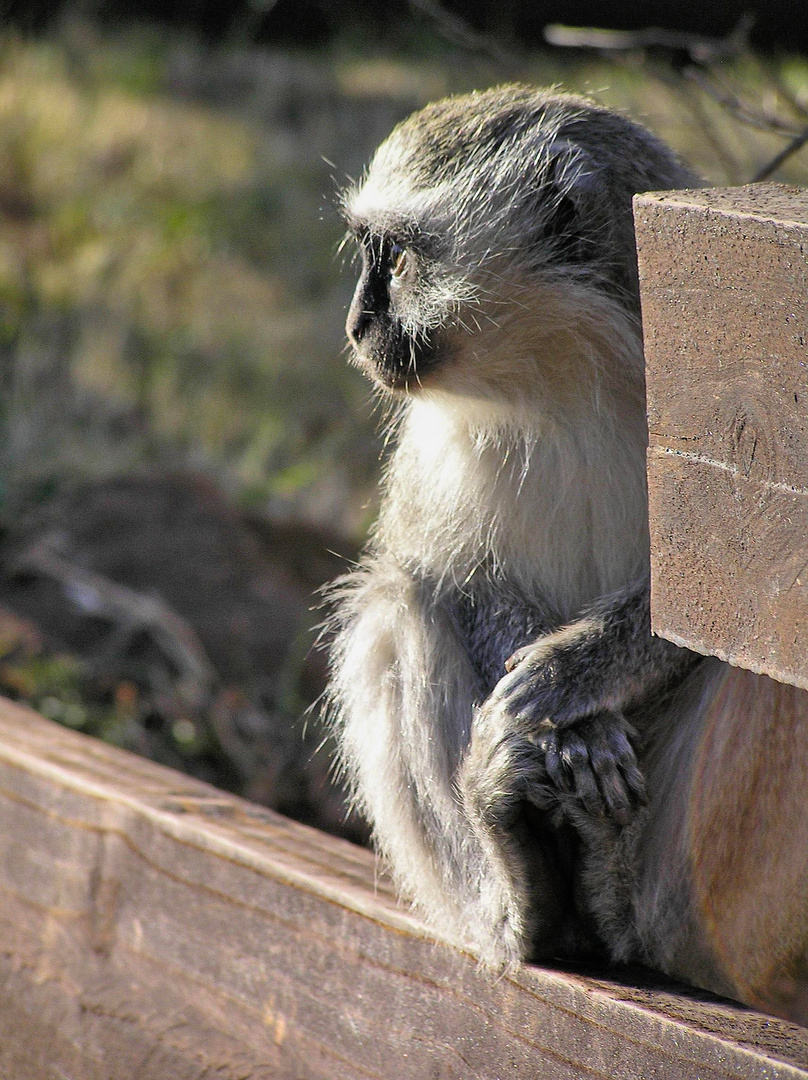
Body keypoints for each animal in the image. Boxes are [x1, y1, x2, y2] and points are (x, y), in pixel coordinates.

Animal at [324, 86, 808, 1019]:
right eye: (369, 255)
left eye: (396, 260)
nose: (356, 326)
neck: (558, 369)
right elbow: (453, 578)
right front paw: (563, 721)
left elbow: (722, 606)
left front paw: (569, 677)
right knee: (394, 608)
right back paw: (526, 897)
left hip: (711, 887)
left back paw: (613, 897)